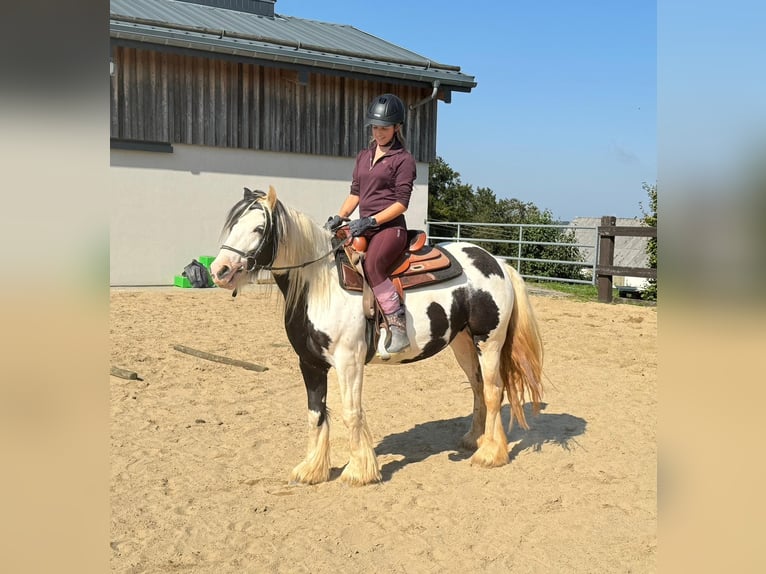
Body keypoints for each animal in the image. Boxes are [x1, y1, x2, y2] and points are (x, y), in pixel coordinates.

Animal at [210, 188, 544, 486]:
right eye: (233, 225)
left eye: (259, 228)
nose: (219, 270)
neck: (320, 284)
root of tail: (498, 263)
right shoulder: (310, 363)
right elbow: (315, 413)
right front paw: (312, 470)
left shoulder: (349, 361)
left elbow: (351, 412)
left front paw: (359, 471)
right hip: (462, 342)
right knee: (477, 388)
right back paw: (474, 439)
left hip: (489, 342)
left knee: (493, 390)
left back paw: (490, 453)